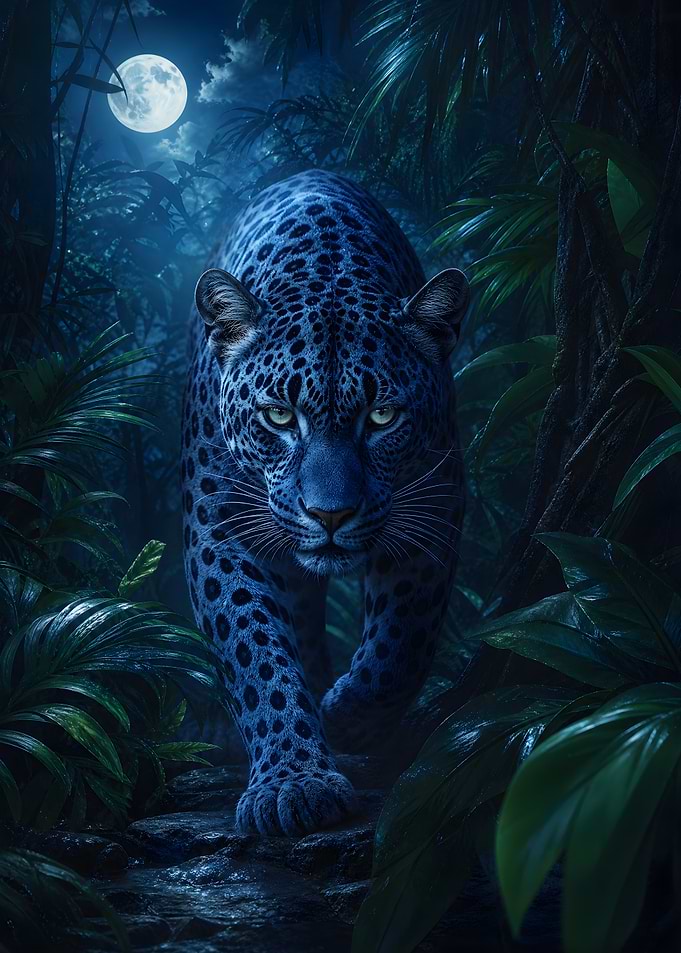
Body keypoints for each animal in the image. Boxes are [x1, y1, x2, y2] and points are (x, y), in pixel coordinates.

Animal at [181, 169, 468, 837]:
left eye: (381, 417)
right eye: (280, 417)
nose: (330, 515)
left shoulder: (433, 504)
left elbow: (402, 642)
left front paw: (349, 717)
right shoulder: (218, 531)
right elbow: (257, 652)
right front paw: (293, 780)